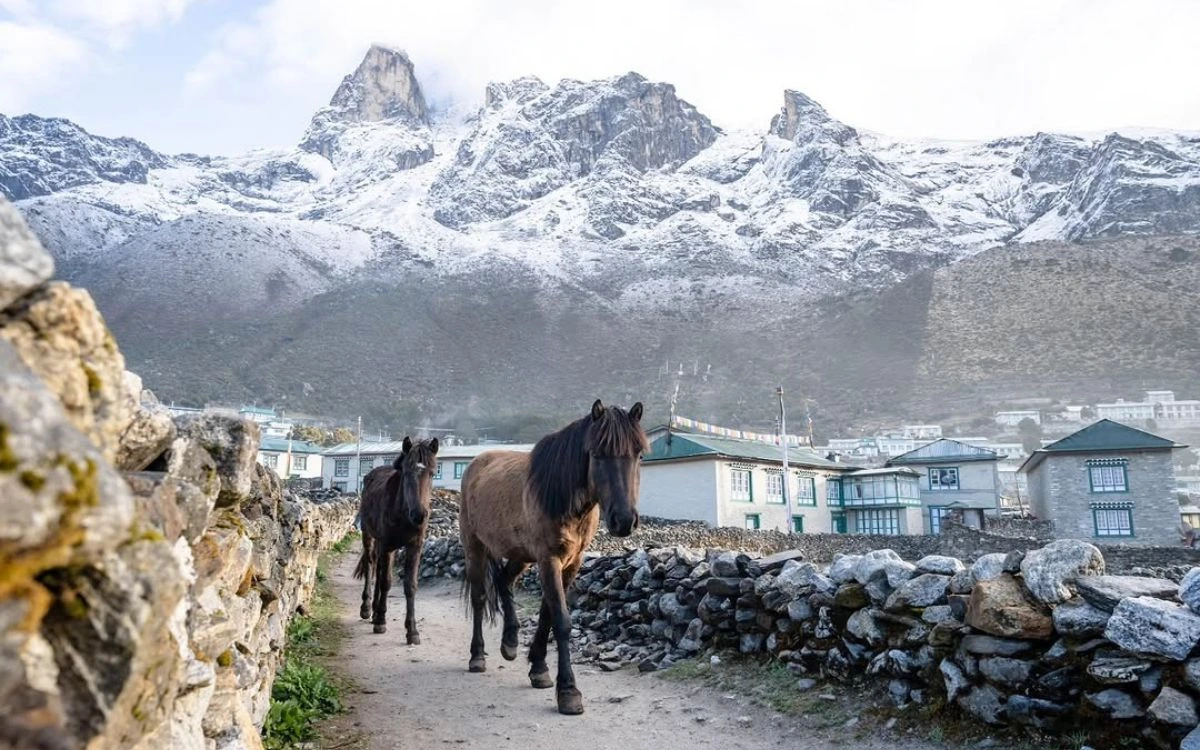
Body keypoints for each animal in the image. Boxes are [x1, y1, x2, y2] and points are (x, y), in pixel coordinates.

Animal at [353, 436, 439, 642]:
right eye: (407, 473)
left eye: (432, 473)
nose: (419, 515)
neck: (403, 512)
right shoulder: (387, 545)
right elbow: (385, 581)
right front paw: (381, 622)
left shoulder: (414, 546)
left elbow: (410, 585)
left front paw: (412, 631)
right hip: (369, 535)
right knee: (371, 564)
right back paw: (367, 609)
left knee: (378, 567)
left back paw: (375, 610)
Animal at [459, 399, 646, 715]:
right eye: (597, 454)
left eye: (639, 453)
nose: (623, 521)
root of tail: (476, 462)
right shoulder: (549, 560)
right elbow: (561, 620)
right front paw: (568, 692)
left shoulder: (571, 562)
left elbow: (547, 614)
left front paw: (539, 669)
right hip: (475, 548)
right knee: (479, 597)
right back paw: (477, 656)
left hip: (520, 554)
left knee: (504, 581)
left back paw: (510, 642)